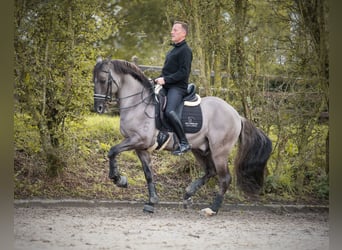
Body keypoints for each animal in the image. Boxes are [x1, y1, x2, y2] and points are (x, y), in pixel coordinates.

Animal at [91, 58, 272, 215]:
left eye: (103, 80)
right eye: (94, 80)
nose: (98, 108)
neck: (138, 104)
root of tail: (236, 115)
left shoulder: (137, 140)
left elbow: (112, 151)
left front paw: (118, 179)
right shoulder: (141, 147)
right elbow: (148, 174)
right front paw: (151, 202)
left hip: (219, 150)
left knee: (224, 178)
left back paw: (212, 209)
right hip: (200, 149)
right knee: (210, 171)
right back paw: (188, 194)